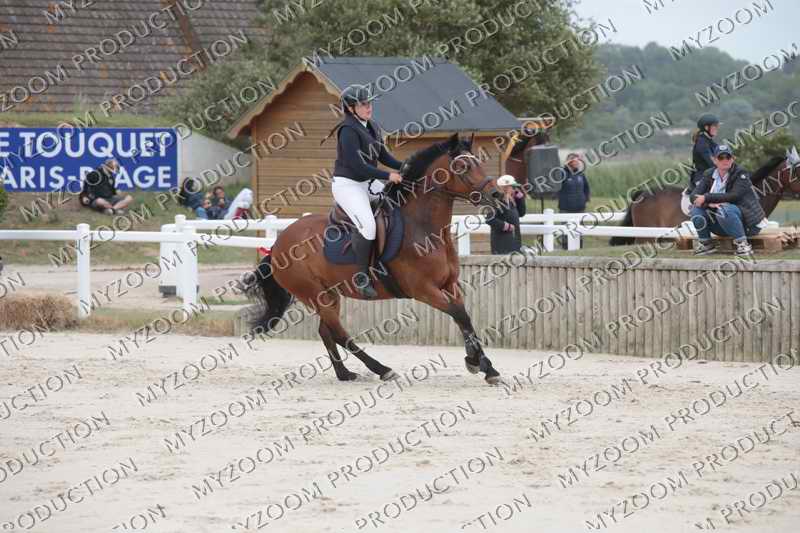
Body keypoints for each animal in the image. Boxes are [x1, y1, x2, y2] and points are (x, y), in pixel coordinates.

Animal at [245, 133, 504, 385]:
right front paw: (481, 365)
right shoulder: (424, 290)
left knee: (326, 331)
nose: (497, 194)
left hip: (329, 295)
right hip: (314, 295)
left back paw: (345, 373)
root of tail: (278, 244)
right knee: (338, 333)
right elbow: (459, 313)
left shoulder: (449, 285)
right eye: (462, 166)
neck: (423, 228)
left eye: (478, 162)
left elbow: (464, 317)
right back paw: (382, 370)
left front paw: (482, 364)